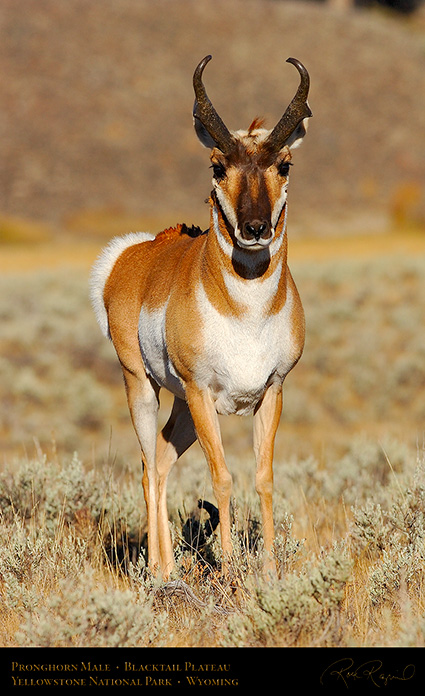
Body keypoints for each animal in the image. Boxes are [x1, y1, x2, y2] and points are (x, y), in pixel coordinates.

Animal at [91, 54, 310, 576]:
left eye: (284, 164)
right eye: (217, 165)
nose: (255, 228)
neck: (247, 315)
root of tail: (133, 254)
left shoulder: (272, 391)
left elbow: (263, 476)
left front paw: (269, 571)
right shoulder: (202, 392)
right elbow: (223, 477)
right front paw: (229, 568)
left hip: (183, 410)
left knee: (162, 461)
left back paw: (169, 567)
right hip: (144, 389)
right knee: (147, 466)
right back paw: (158, 572)